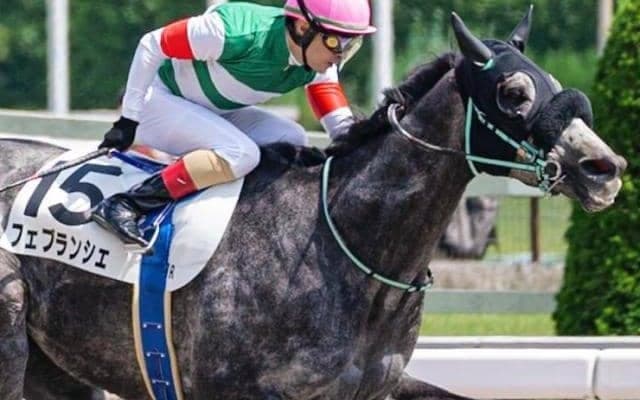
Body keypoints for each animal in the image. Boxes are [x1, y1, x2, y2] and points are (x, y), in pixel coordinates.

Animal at [0, 9, 626, 400]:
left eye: (550, 81)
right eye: (514, 93)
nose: (605, 169)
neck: (345, 244)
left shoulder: (376, 387)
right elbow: (161, 39)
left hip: (58, 367)